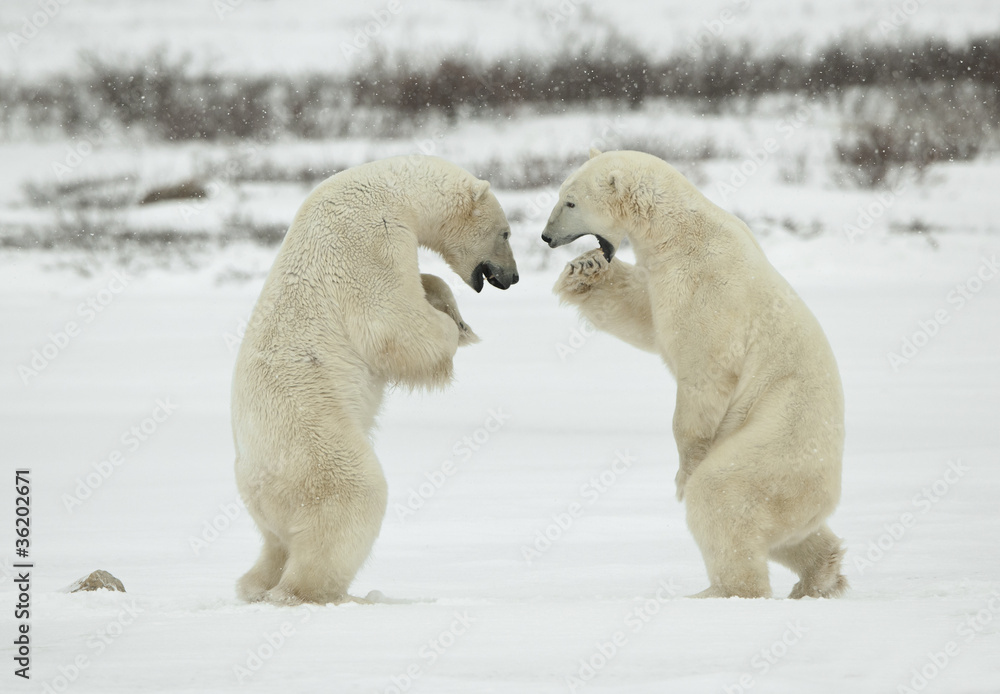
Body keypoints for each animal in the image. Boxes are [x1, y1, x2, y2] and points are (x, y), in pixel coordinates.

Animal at [232, 155, 517, 605]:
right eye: (505, 232)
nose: (513, 277)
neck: (393, 190)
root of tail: (253, 480)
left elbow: (424, 287)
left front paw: (451, 308)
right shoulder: (367, 238)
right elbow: (392, 320)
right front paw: (454, 331)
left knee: (275, 543)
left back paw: (257, 584)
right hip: (313, 440)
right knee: (353, 498)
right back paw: (338, 594)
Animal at [542, 148, 847, 599]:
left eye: (570, 202)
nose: (546, 237)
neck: (679, 232)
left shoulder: (708, 288)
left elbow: (703, 374)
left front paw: (683, 473)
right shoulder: (662, 275)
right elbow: (643, 316)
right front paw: (585, 269)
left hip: (776, 444)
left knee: (723, 495)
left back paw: (718, 592)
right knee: (789, 534)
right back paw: (819, 575)